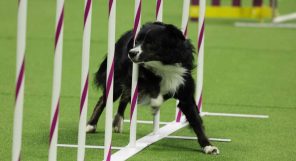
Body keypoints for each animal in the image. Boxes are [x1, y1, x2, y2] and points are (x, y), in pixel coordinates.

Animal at [86, 22, 219, 154]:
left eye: (150, 42)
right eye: (137, 41)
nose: (131, 53)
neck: (165, 63)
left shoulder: (185, 90)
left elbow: (196, 120)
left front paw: (208, 146)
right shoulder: (138, 76)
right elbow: (152, 83)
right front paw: (155, 103)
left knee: (124, 96)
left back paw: (117, 122)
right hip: (117, 80)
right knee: (104, 99)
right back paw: (90, 125)